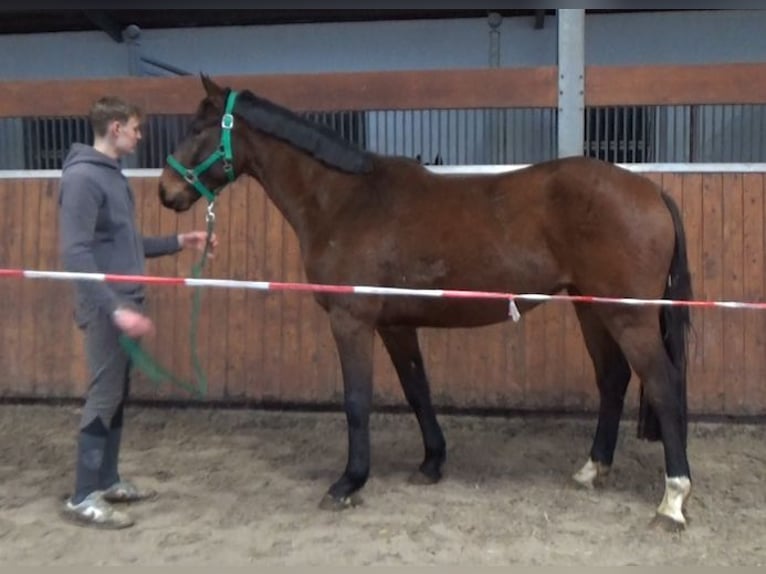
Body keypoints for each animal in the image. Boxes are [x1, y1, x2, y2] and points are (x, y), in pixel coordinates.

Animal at [158, 74, 693, 530]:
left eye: (200, 128)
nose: (166, 191)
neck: (344, 201)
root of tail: (652, 192)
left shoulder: (351, 320)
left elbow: (357, 401)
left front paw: (348, 483)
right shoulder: (396, 325)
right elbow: (418, 389)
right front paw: (431, 462)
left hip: (629, 316)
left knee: (663, 385)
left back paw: (672, 500)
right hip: (591, 307)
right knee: (613, 379)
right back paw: (592, 469)